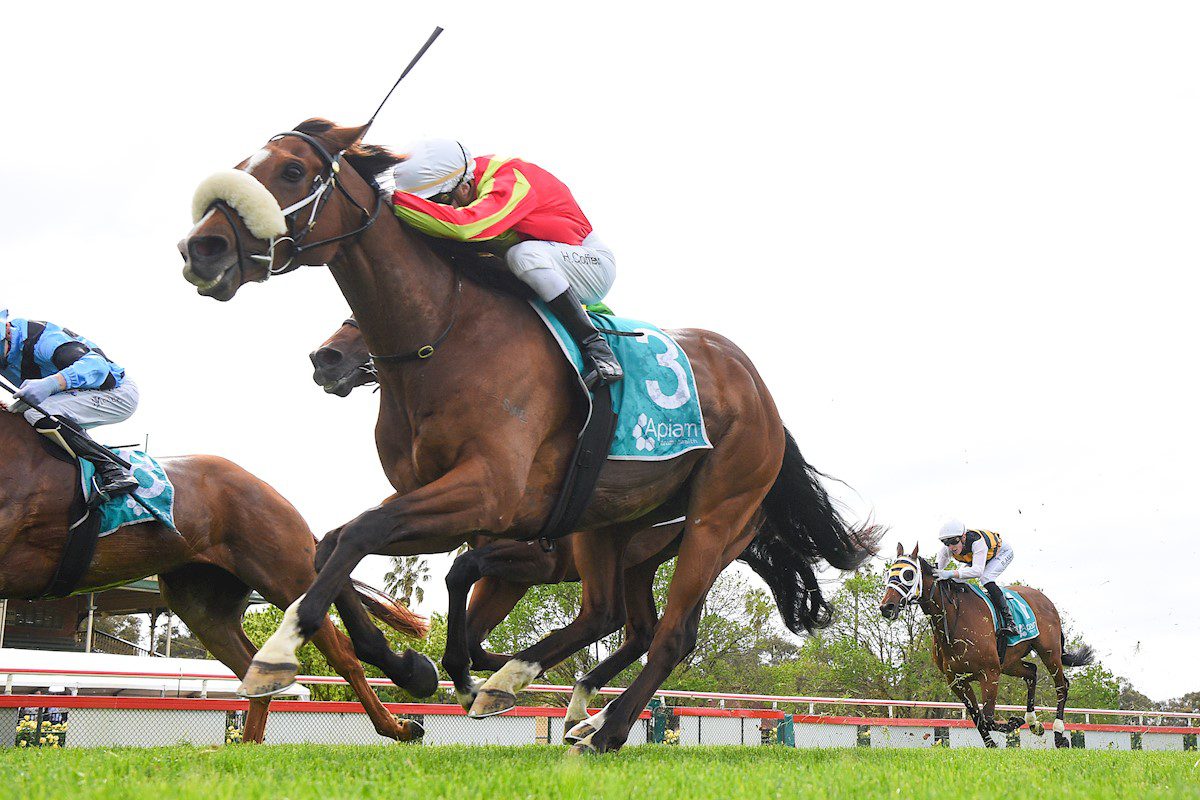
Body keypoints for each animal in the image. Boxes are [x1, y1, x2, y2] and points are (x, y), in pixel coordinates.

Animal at [0, 410, 432, 748]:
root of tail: (275, 495)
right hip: (202, 606)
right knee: (255, 671)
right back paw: (247, 748)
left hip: (286, 577)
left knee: (343, 652)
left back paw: (398, 727)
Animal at [177, 115, 878, 753]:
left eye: (293, 171)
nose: (201, 248)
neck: (446, 336)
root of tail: (761, 394)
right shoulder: (442, 502)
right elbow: (336, 544)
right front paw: (412, 666)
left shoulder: (491, 496)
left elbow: (371, 538)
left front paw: (277, 654)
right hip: (610, 524)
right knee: (615, 616)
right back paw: (534, 689)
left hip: (716, 518)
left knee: (672, 634)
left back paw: (601, 728)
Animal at [878, 544, 1094, 753]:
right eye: (889, 573)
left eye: (908, 574)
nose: (887, 607)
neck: (955, 618)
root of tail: (1045, 599)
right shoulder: (957, 680)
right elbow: (978, 717)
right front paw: (993, 743)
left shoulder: (989, 673)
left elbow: (988, 718)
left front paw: (1014, 722)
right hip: (1009, 662)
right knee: (1031, 672)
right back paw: (1034, 723)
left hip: (1049, 652)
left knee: (1061, 685)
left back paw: (1058, 734)